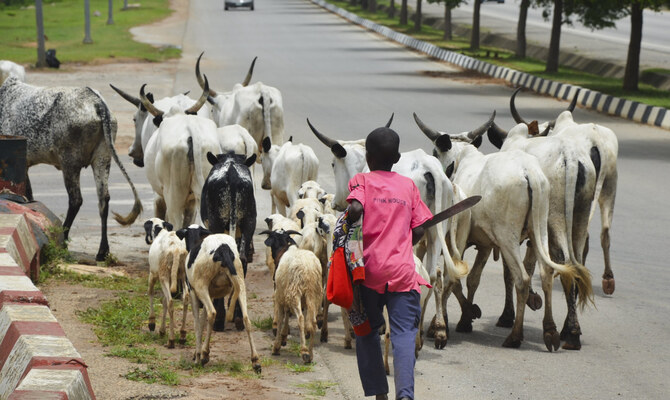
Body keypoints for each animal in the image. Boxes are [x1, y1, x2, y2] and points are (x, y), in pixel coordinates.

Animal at [0, 76, 142, 260]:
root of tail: (97, 103)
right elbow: (29, 195)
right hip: (103, 157)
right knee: (103, 199)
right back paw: (102, 251)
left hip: (70, 162)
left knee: (76, 200)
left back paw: (63, 241)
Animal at [144, 217, 189, 348]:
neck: (160, 231)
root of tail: (176, 249)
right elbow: (163, 301)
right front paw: (162, 330)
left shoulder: (153, 274)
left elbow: (151, 293)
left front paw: (152, 323)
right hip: (183, 275)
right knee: (185, 298)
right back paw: (182, 335)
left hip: (163, 275)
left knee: (170, 302)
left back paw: (171, 340)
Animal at [176, 225, 262, 372]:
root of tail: (223, 249)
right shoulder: (209, 295)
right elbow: (202, 321)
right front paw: (200, 352)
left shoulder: (194, 292)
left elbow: (198, 323)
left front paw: (197, 355)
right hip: (240, 281)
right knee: (246, 319)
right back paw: (255, 361)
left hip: (201, 286)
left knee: (212, 313)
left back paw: (204, 356)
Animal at [262, 228, 322, 362]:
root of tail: (308, 270)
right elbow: (287, 313)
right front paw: (284, 336)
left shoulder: (279, 294)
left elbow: (281, 318)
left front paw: (277, 346)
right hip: (313, 294)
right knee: (313, 322)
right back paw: (310, 354)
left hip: (295, 292)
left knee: (300, 318)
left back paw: (304, 351)